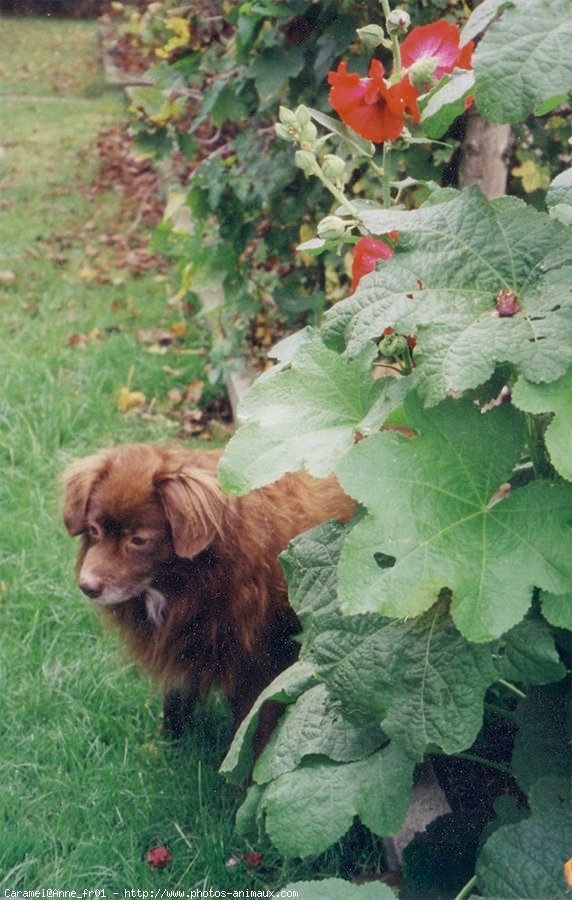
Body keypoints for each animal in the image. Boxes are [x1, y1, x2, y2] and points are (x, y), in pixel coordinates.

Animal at [62, 442, 354, 744]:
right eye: (94, 530)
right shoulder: (182, 646)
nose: (87, 586)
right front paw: (167, 745)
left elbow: (250, 728)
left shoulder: (263, 666)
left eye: (138, 540)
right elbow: (175, 702)